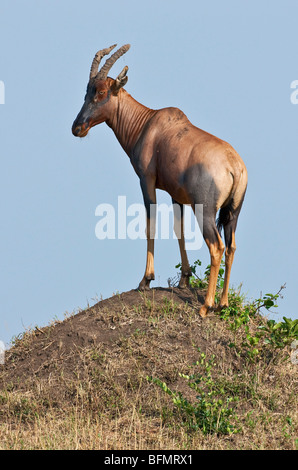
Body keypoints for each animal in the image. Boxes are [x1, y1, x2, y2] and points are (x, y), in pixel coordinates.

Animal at [71, 44, 247, 318]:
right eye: (86, 91)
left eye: (101, 92)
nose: (77, 128)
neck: (149, 124)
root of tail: (234, 166)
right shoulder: (177, 195)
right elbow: (178, 229)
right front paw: (184, 278)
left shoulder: (146, 180)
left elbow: (149, 224)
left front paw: (145, 280)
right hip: (233, 213)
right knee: (231, 247)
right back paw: (223, 303)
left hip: (205, 210)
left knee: (216, 246)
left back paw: (206, 306)